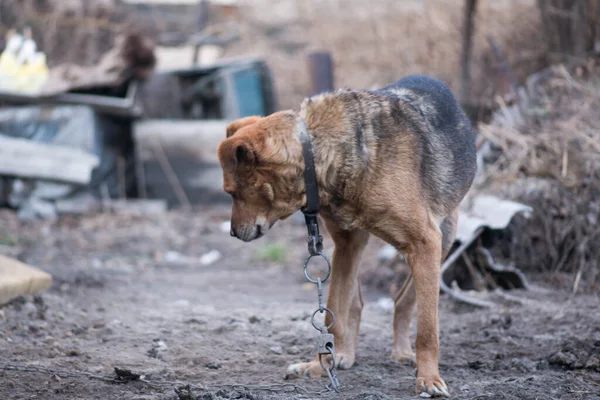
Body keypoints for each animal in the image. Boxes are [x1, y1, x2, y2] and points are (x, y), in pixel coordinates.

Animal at [218, 75, 476, 396]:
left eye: (233, 193)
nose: (231, 233)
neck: (315, 151)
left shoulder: (425, 242)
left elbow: (428, 329)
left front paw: (428, 378)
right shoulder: (346, 244)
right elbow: (333, 315)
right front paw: (322, 365)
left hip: (444, 240)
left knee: (404, 300)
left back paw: (403, 352)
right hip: (353, 252)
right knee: (356, 303)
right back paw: (344, 354)